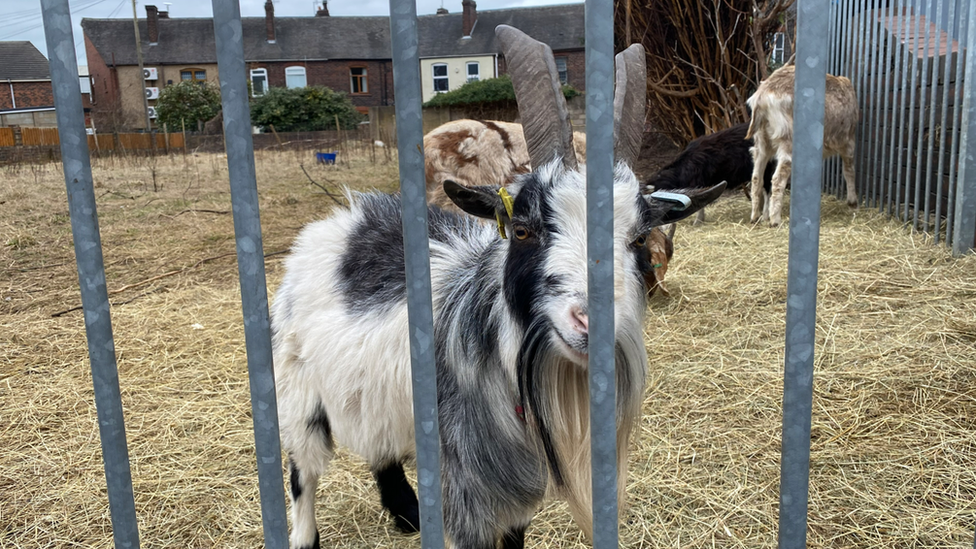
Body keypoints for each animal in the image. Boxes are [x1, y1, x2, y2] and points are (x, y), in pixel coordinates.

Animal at [270, 25, 728, 548]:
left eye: (635, 239)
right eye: (523, 230)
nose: (592, 323)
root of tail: (341, 218)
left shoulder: (514, 494)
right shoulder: (468, 491)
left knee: (378, 447)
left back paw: (407, 514)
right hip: (300, 393)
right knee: (302, 473)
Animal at [744, 63, 856, 226]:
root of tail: (761, 97)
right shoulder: (848, 141)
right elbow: (849, 170)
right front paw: (853, 202)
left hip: (762, 141)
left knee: (756, 177)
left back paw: (755, 217)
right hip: (787, 139)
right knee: (777, 179)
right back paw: (775, 220)